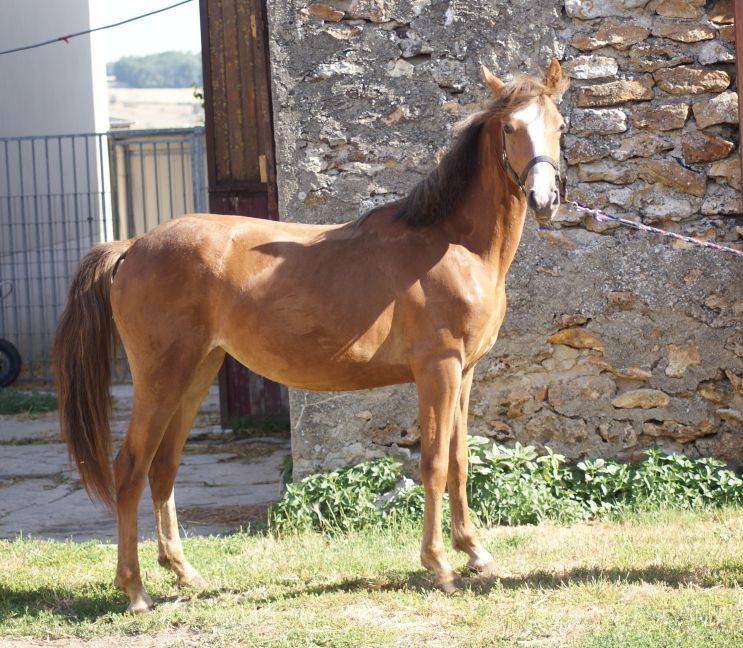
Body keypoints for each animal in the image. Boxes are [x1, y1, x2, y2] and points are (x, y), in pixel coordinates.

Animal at [54, 59, 566, 612]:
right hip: (160, 378)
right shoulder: (439, 369)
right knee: (129, 469)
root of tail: (132, 246)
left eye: (560, 126)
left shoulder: (465, 373)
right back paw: (134, 589)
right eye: (509, 128)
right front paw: (439, 565)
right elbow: (431, 463)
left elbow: (458, 462)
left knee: (162, 469)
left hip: (194, 375)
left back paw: (184, 572)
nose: (543, 199)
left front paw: (475, 552)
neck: (452, 244)